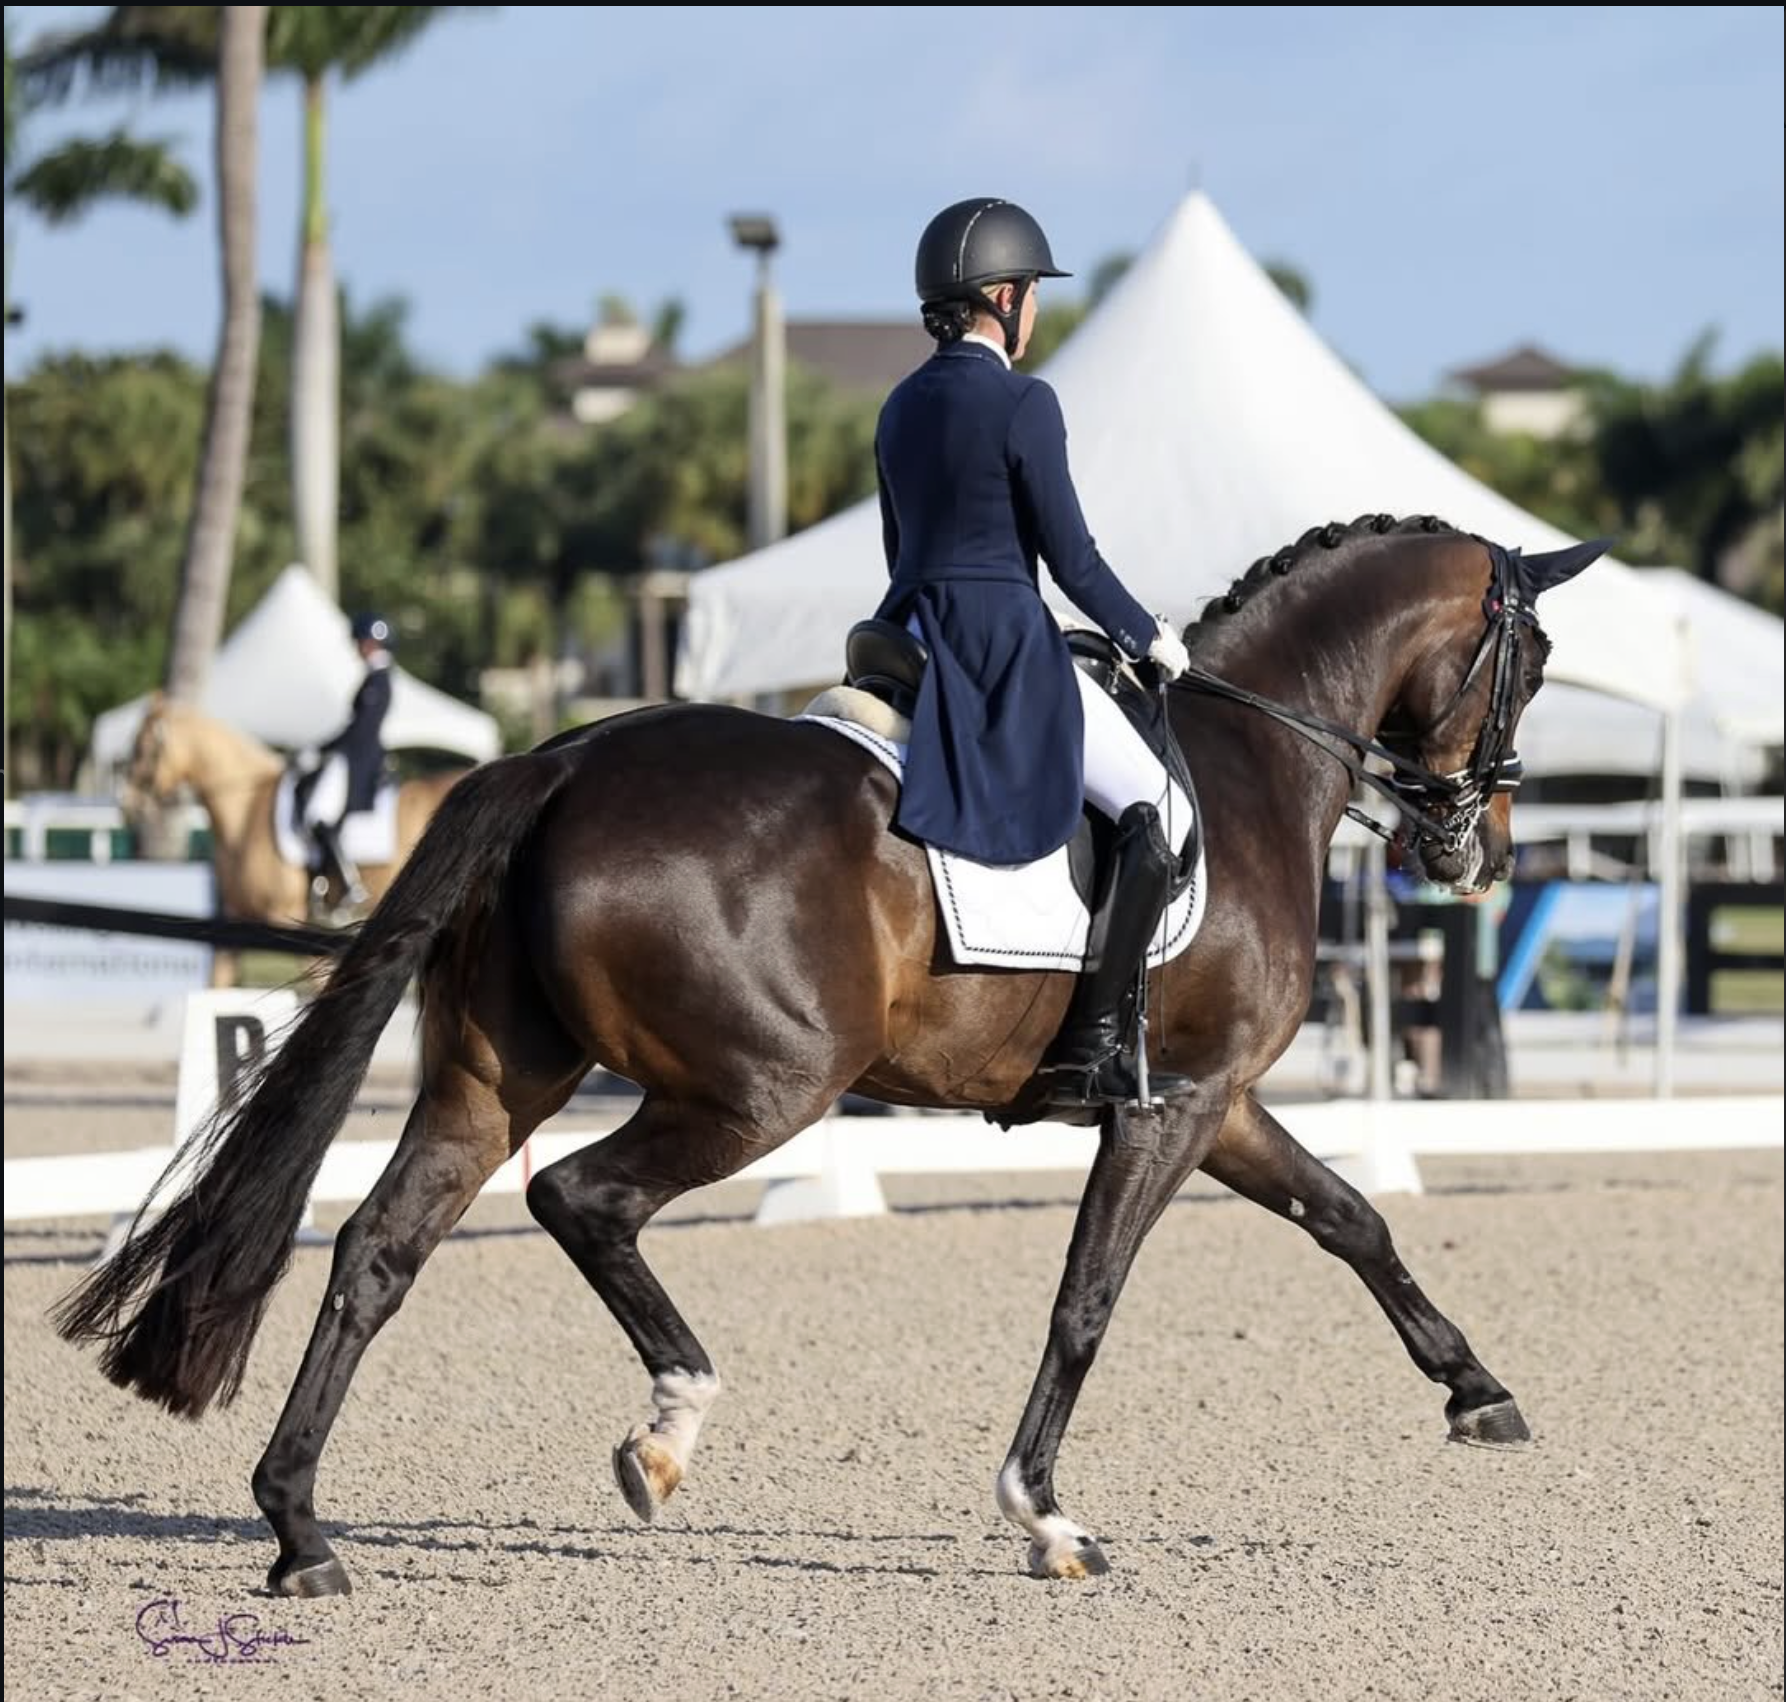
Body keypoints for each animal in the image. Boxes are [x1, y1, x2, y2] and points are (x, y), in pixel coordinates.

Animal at [120, 693, 471, 983]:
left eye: (142, 747)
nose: (128, 803)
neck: (248, 808)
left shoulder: (285, 917)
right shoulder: (234, 921)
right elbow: (217, 982)